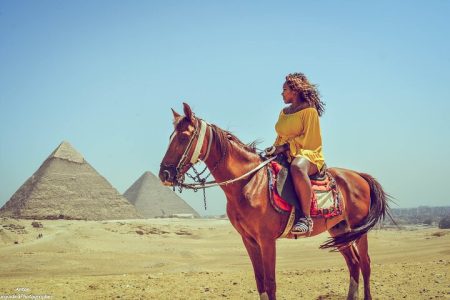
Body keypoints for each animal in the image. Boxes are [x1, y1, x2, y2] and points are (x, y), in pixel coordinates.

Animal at [160, 103, 392, 300]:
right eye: (170, 136)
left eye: (184, 137)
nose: (164, 174)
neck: (248, 182)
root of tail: (359, 176)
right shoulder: (249, 240)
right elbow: (260, 281)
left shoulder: (267, 240)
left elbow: (271, 283)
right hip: (339, 229)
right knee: (353, 263)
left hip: (358, 229)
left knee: (365, 263)